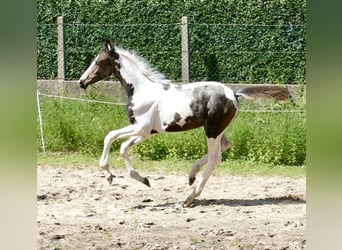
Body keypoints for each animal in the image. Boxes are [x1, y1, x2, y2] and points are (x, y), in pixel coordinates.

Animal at [79, 39, 290, 207]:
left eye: (98, 61)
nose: (82, 82)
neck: (140, 90)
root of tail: (234, 93)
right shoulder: (147, 132)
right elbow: (122, 146)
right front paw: (142, 179)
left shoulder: (140, 128)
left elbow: (111, 137)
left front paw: (110, 175)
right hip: (218, 129)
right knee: (225, 145)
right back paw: (191, 176)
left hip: (211, 130)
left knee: (216, 158)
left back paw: (190, 197)